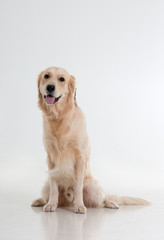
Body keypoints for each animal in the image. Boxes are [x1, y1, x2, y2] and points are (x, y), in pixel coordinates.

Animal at [31, 66, 149, 214]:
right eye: (46, 76)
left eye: (62, 79)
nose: (50, 87)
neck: (60, 118)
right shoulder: (51, 156)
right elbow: (53, 185)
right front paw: (51, 204)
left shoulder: (79, 156)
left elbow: (78, 186)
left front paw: (79, 205)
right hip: (46, 186)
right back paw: (40, 201)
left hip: (93, 188)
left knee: (102, 199)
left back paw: (111, 203)